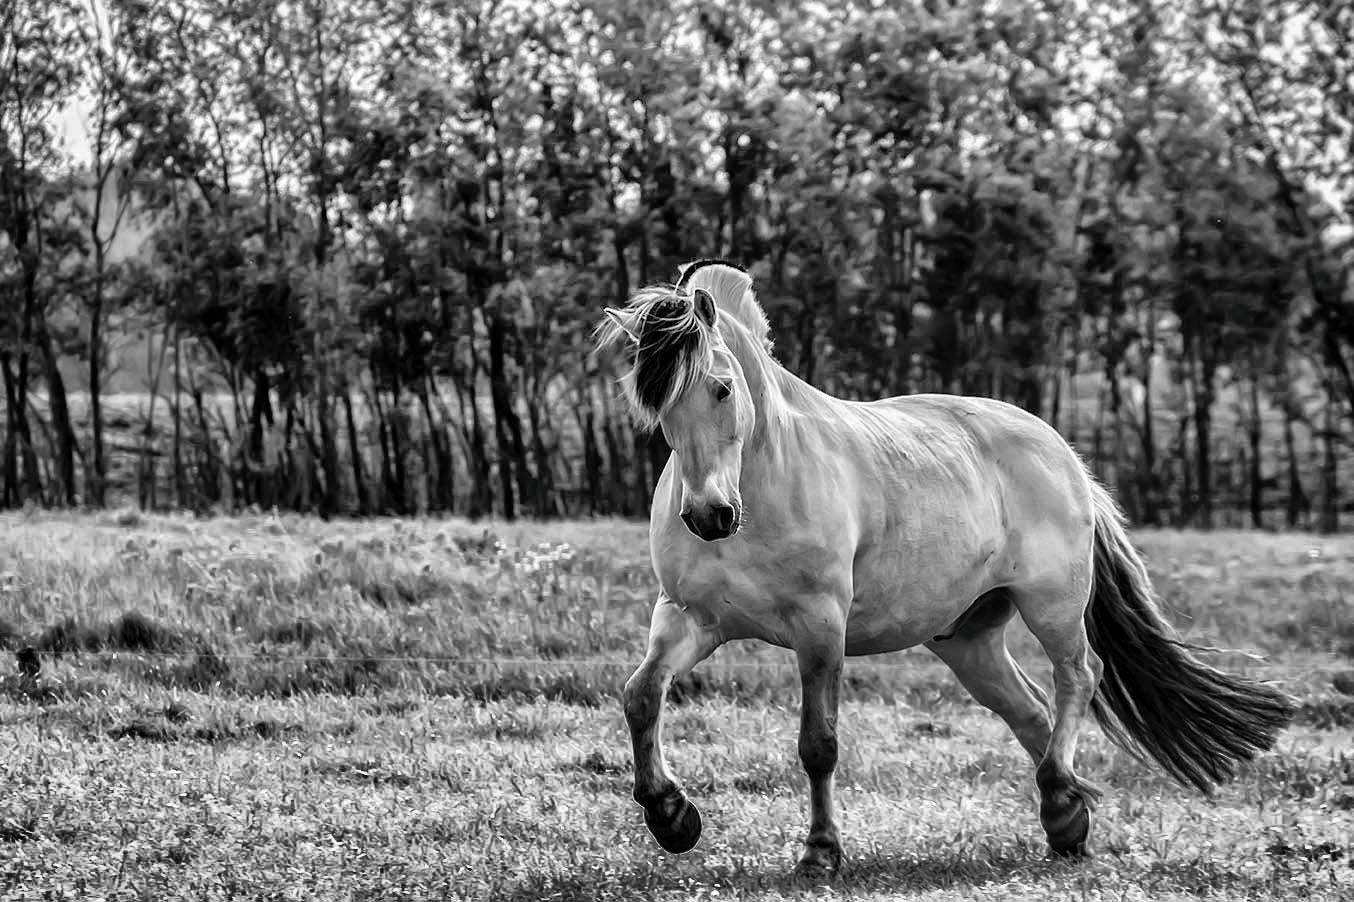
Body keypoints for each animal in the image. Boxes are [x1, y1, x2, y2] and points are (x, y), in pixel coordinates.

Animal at [598, 258, 1294, 872]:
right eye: (657, 402)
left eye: (721, 387)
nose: (709, 515)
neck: (764, 483)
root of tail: (1063, 453)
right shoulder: (691, 617)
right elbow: (641, 695)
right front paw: (671, 816)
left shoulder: (821, 628)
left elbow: (818, 744)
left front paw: (821, 852)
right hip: (967, 638)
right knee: (1031, 711)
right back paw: (1065, 816)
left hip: (1053, 607)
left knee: (1079, 677)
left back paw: (1063, 800)